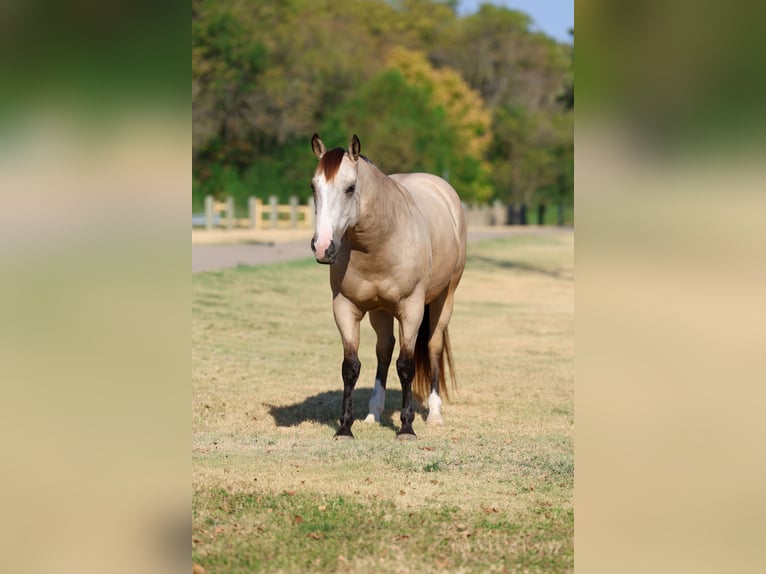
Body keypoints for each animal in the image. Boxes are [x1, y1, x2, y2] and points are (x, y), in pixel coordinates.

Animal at [309, 133, 466, 440]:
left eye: (350, 188)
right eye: (314, 187)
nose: (323, 247)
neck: (381, 241)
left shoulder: (411, 308)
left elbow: (405, 366)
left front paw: (406, 428)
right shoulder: (345, 307)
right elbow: (351, 367)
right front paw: (345, 428)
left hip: (445, 298)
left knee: (433, 346)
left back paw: (434, 414)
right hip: (380, 311)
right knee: (384, 349)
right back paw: (373, 413)